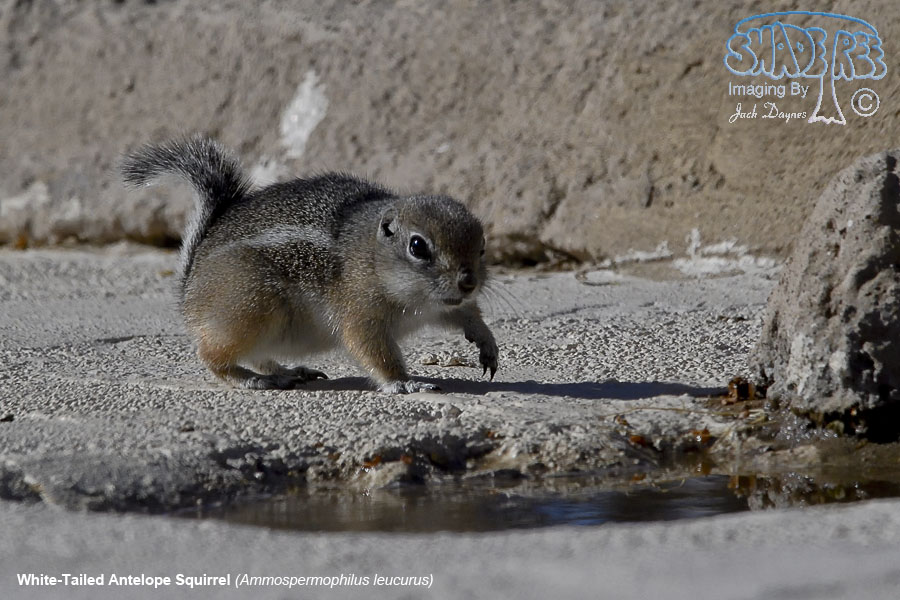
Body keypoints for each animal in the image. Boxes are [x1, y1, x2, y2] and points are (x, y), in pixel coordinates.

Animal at [120, 136, 498, 393]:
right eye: (418, 246)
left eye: (481, 247)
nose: (468, 282)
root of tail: (188, 291)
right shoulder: (360, 315)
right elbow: (376, 353)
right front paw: (404, 383)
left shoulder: (445, 305)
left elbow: (466, 315)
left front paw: (487, 344)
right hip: (250, 306)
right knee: (212, 356)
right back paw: (251, 380)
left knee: (255, 354)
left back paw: (284, 372)